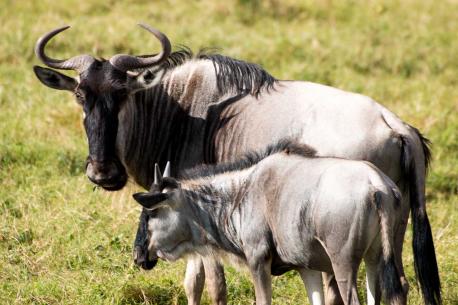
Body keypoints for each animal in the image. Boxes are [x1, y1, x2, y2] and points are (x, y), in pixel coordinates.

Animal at [133, 141, 408, 304]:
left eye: (150, 213)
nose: (137, 256)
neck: (240, 195)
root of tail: (377, 186)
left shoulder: (258, 259)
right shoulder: (306, 267)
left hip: (344, 263)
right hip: (377, 258)